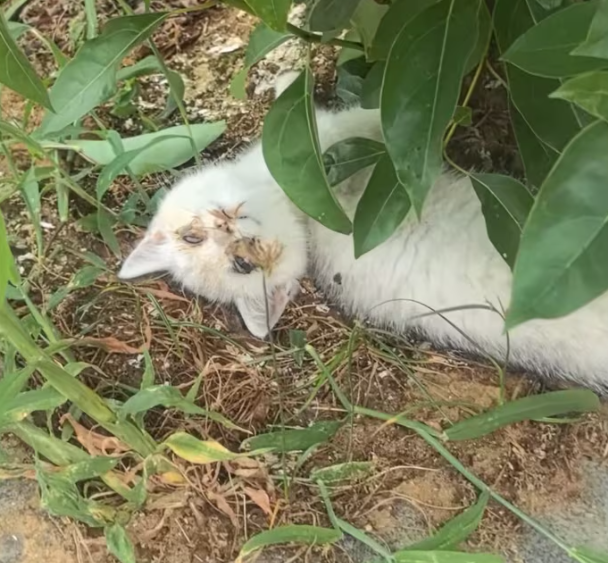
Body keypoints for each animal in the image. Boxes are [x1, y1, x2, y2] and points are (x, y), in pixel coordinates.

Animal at [118, 71, 608, 393]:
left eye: (192, 237)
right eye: (241, 267)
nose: (243, 244)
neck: (301, 210)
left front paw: (288, 81)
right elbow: (364, 117)